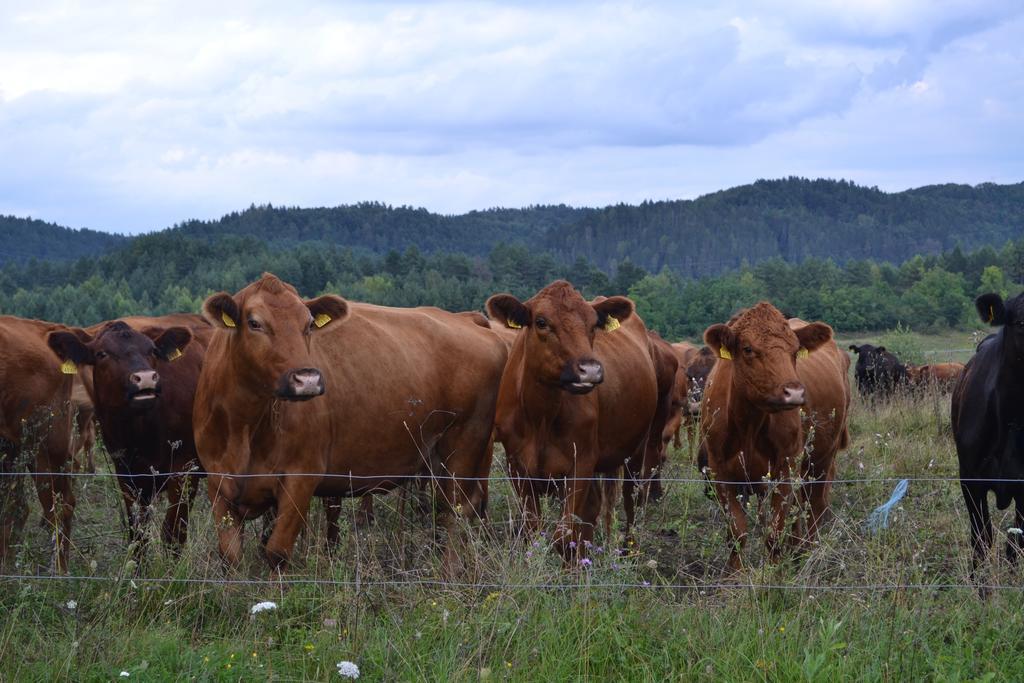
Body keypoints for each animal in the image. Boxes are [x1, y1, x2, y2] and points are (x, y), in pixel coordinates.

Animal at [193, 272, 505, 573]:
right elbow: (231, 556)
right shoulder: (219, 484)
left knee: (454, 513)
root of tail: (468, 321)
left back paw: (449, 574)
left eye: (308, 323)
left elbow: (277, 553)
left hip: (463, 448)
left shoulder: (301, 478)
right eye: (254, 323)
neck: (246, 425)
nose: (307, 380)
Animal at [485, 280, 655, 557]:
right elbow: (533, 530)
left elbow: (564, 537)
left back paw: (628, 550)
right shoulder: (517, 466)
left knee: (630, 501)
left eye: (593, 323)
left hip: (637, 449)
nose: (591, 370)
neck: (541, 417)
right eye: (541, 321)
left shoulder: (581, 463)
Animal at [700, 305, 851, 573]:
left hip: (822, 458)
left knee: (814, 505)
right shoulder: (719, 471)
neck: (748, 425)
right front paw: (734, 574)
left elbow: (774, 530)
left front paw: (774, 573)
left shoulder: (785, 467)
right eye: (748, 349)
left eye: (795, 351)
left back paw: (808, 552)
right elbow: (737, 531)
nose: (795, 392)